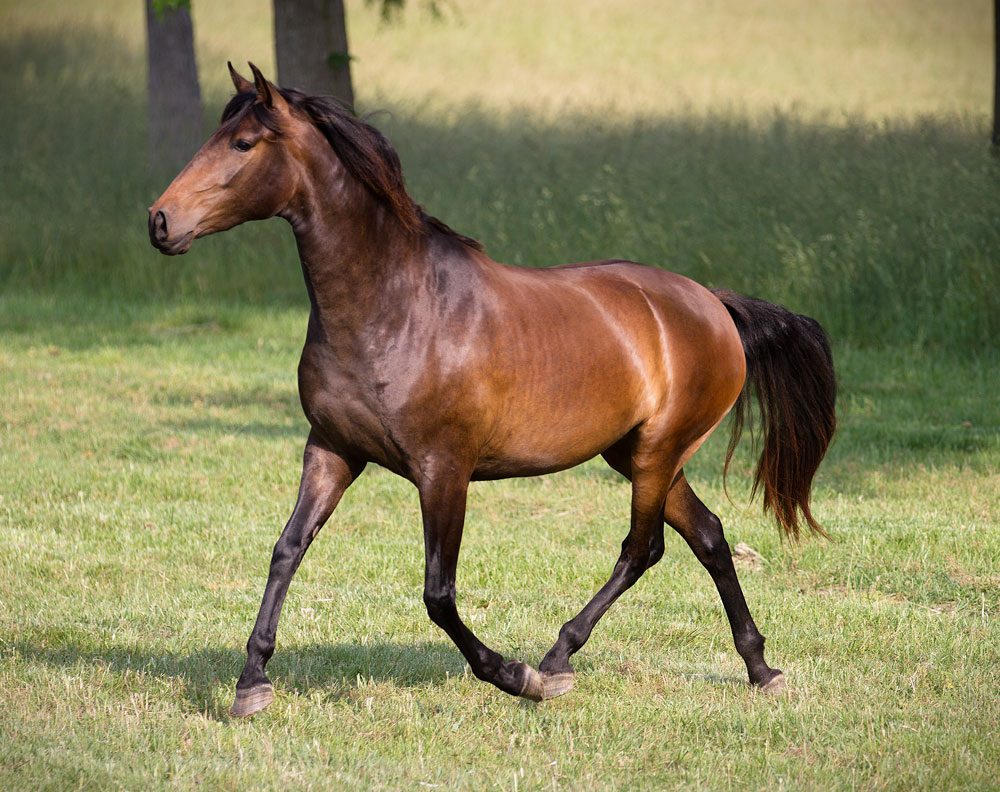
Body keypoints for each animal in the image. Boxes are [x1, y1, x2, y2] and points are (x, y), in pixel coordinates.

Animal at [148, 63, 836, 716]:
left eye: (242, 143)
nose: (159, 221)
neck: (395, 308)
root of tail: (712, 303)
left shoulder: (443, 470)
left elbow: (438, 594)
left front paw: (513, 676)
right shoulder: (332, 450)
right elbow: (286, 550)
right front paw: (251, 682)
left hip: (656, 454)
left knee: (643, 549)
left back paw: (555, 662)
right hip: (637, 453)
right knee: (709, 535)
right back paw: (759, 668)